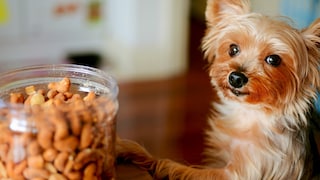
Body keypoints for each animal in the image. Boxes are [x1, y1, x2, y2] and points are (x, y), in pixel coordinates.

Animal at [116, 0, 320, 179]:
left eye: (274, 59)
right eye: (233, 49)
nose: (236, 77)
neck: (250, 114)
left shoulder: (245, 171)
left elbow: (175, 167)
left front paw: (140, 154)